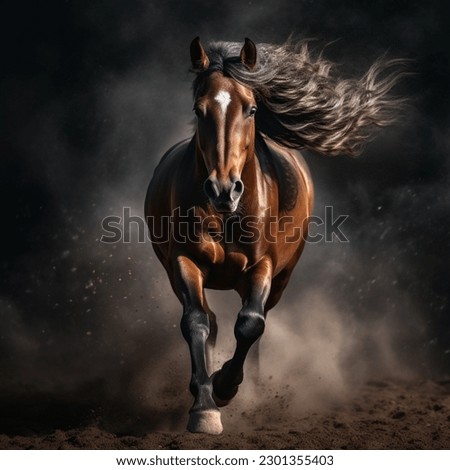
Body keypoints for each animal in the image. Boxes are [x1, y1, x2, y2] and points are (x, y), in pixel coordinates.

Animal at [145, 37, 404, 436]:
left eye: (251, 109)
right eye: (198, 110)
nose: (223, 189)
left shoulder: (262, 267)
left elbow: (251, 324)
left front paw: (225, 387)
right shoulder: (184, 262)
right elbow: (196, 322)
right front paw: (205, 407)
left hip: (281, 278)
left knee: (254, 323)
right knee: (211, 320)